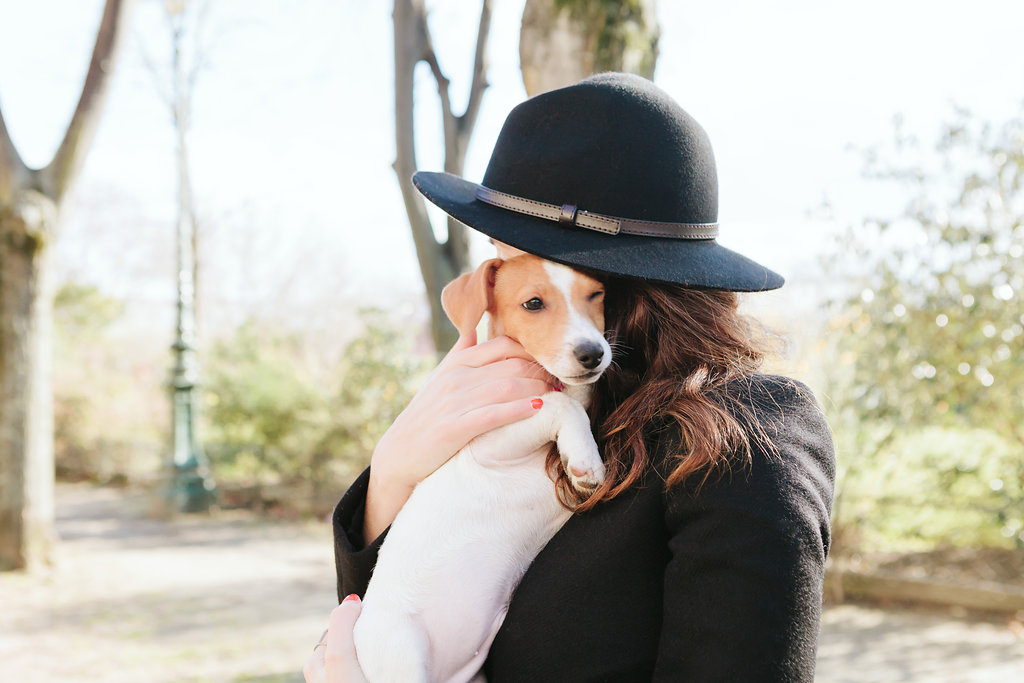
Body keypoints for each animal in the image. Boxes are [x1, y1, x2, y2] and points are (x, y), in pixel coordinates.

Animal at [352, 253, 606, 679]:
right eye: (533, 303)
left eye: (597, 294)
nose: (593, 353)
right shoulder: (493, 440)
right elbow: (560, 405)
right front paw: (586, 460)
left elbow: (574, 401)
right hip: (402, 653)